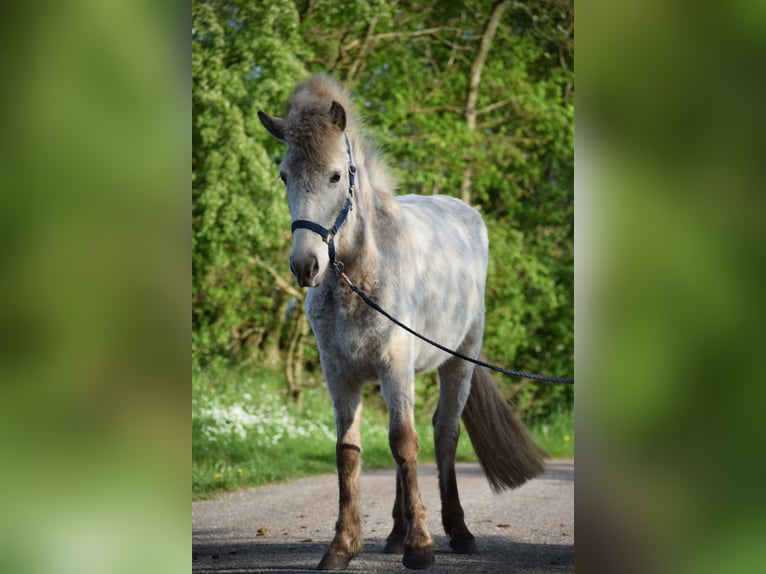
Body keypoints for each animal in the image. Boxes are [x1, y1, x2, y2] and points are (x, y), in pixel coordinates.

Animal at [260, 73, 548, 572]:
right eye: (284, 175)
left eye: (336, 175)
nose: (305, 266)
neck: (358, 274)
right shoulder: (341, 374)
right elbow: (350, 451)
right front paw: (343, 546)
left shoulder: (395, 363)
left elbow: (405, 443)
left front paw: (421, 545)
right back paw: (394, 534)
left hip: (458, 362)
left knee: (443, 434)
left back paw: (457, 531)